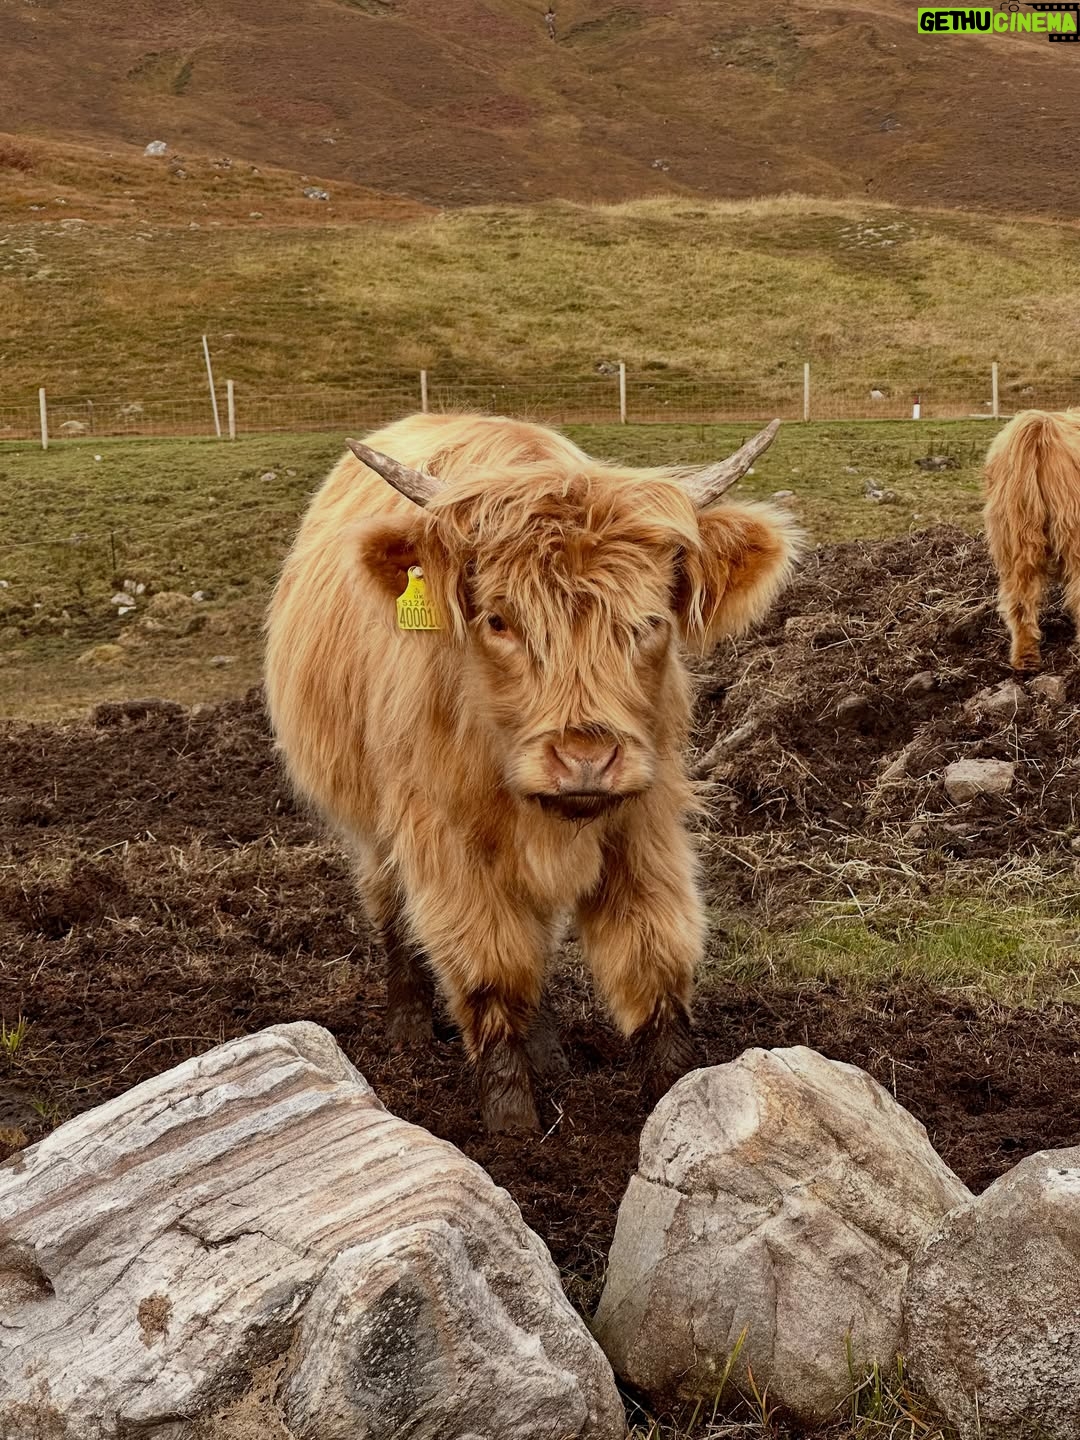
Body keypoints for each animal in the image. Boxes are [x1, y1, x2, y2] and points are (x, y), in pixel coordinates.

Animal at [265, 412, 798, 1132]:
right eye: (498, 620)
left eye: (649, 622)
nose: (585, 760)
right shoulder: (445, 837)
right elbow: (489, 970)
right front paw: (512, 1126)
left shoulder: (644, 817)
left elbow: (652, 953)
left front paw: (679, 1093)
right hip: (368, 816)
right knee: (386, 898)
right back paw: (408, 1021)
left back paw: (548, 1046)